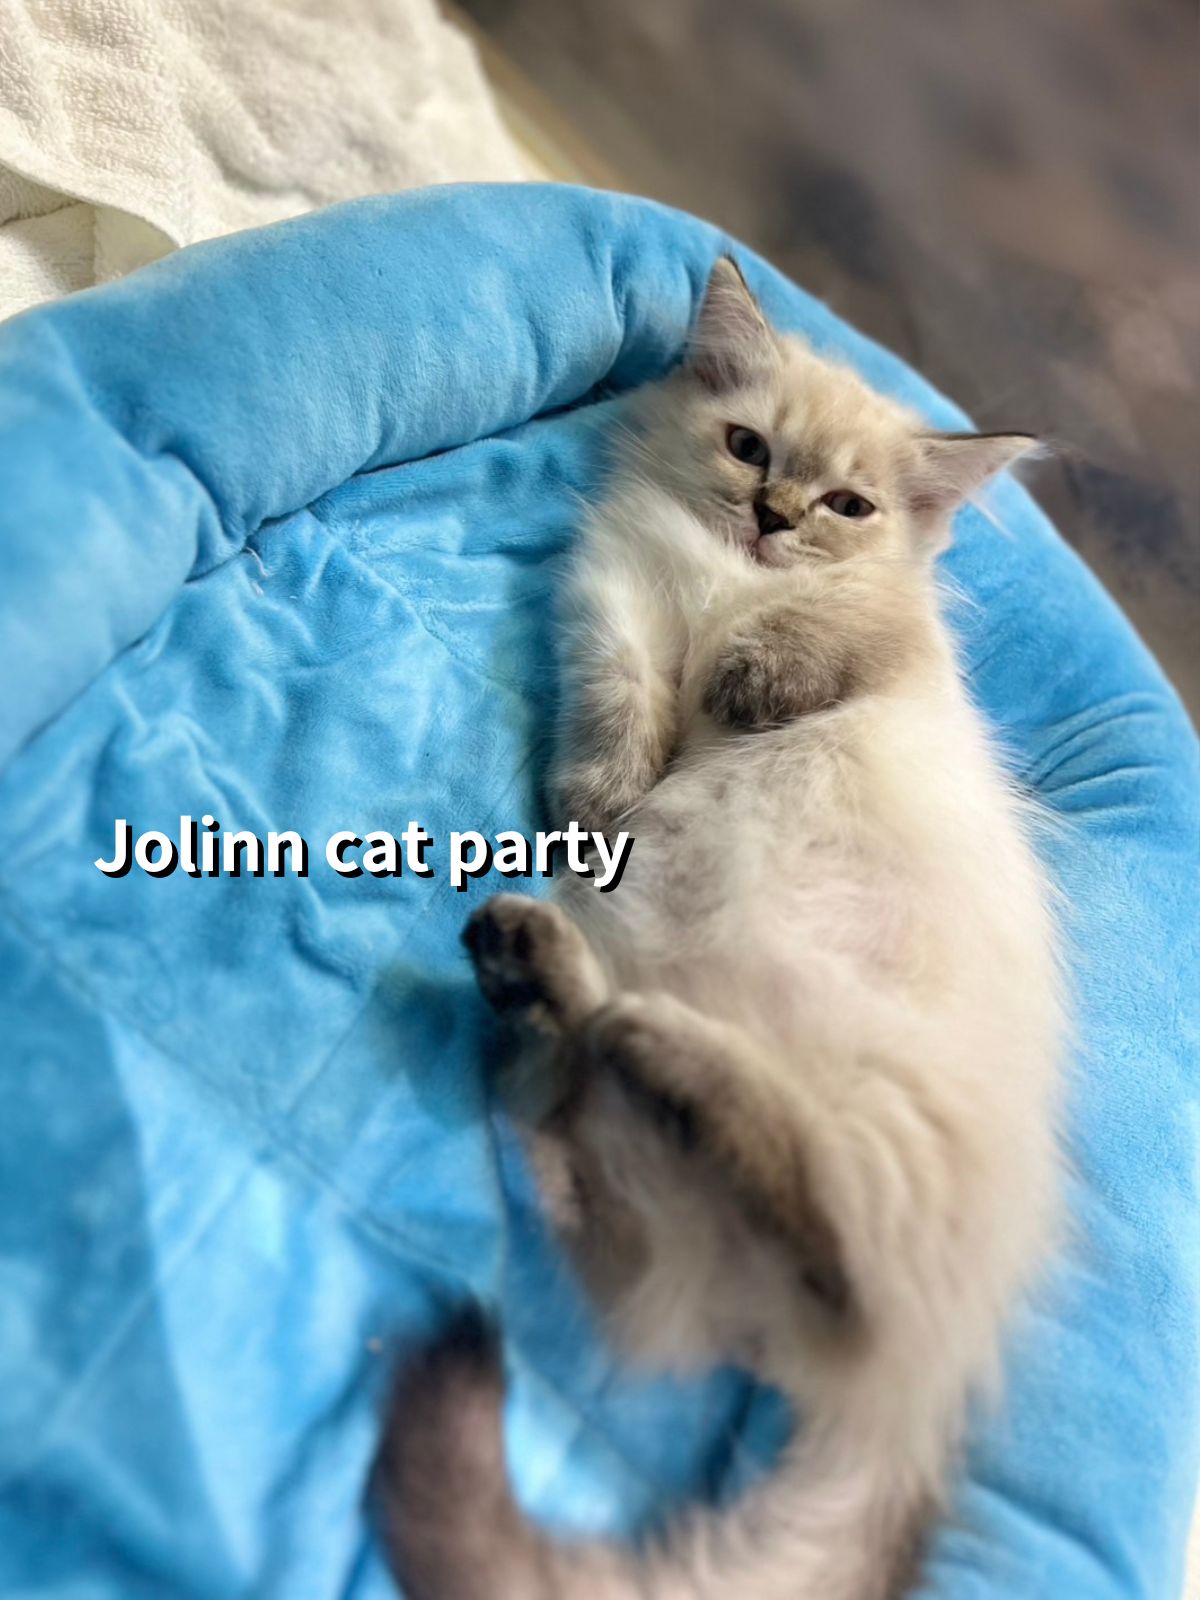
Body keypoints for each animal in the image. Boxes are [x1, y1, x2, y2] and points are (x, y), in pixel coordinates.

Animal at [377, 257, 1065, 1600]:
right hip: (654, 1147)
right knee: (582, 1149)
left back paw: (625, 1030)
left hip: (874, 1127)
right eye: (748, 447)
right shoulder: (619, 601)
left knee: (834, 1256)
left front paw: (748, 680)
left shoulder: (884, 649)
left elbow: (818, 644)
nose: (775, 515)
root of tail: (924, 1403)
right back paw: (539, 983)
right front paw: (601, 803)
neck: (726, 583)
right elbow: (622, 706)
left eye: (847, 504)